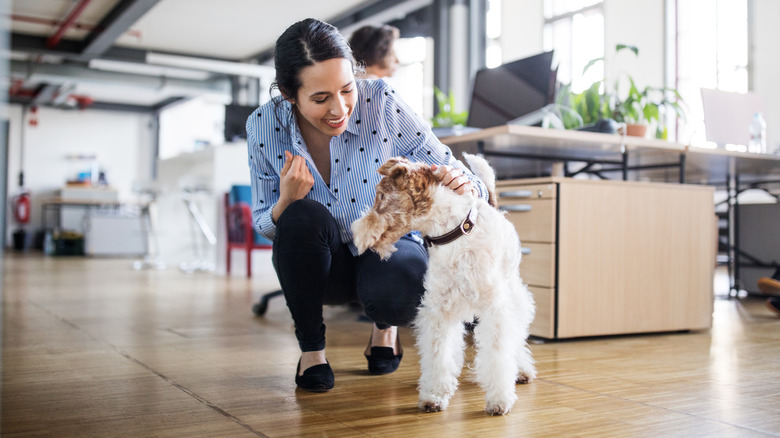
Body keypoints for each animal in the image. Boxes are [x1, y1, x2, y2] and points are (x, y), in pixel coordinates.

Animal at [352, 153, 536, 414]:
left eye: (381, 196)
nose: (355, 232)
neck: (455, 233)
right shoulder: (439, 308)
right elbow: (438, 352)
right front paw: (434, 396)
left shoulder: (494, 308)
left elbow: (498, 353)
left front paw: (499, 401)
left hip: (513, 297)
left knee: (516, 338)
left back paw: (522, 371)